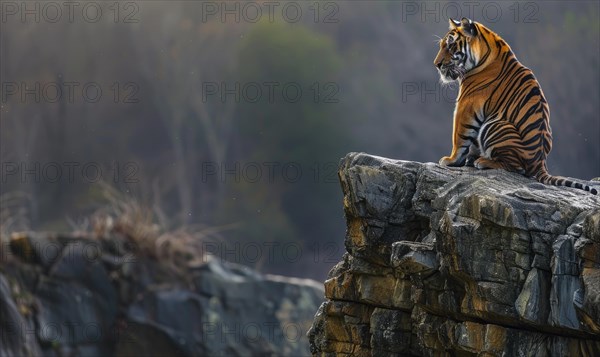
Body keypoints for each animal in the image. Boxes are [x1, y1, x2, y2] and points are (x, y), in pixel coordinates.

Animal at [436, 16, 596, 195]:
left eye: (450, 46)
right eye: (441, 45)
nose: (437, 64)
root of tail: (540, 163)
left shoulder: (466, 105)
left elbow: (459, 136)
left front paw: (451, 160)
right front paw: (469, 158)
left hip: (495, 125)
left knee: (517, 167)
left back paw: (484, 162)